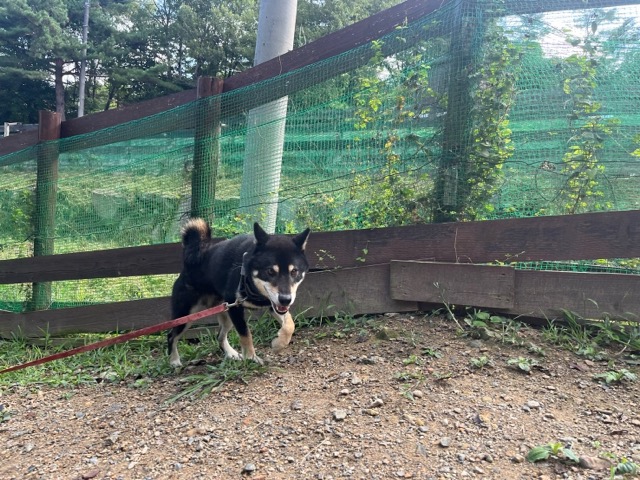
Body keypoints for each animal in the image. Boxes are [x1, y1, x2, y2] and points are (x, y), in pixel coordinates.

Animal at [167, 218, 311, 367]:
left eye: (294, 271)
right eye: (270, 271)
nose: (286, 299)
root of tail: (190, 262)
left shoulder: (273, 305)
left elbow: (290, 325)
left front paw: (278, 344)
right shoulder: (236, 308)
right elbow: (246, 335)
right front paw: (251, 358)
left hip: (226, 314)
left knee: (219, 335)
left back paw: (231, 353)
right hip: (186, 316)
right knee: (171, 336)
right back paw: (174, 361)